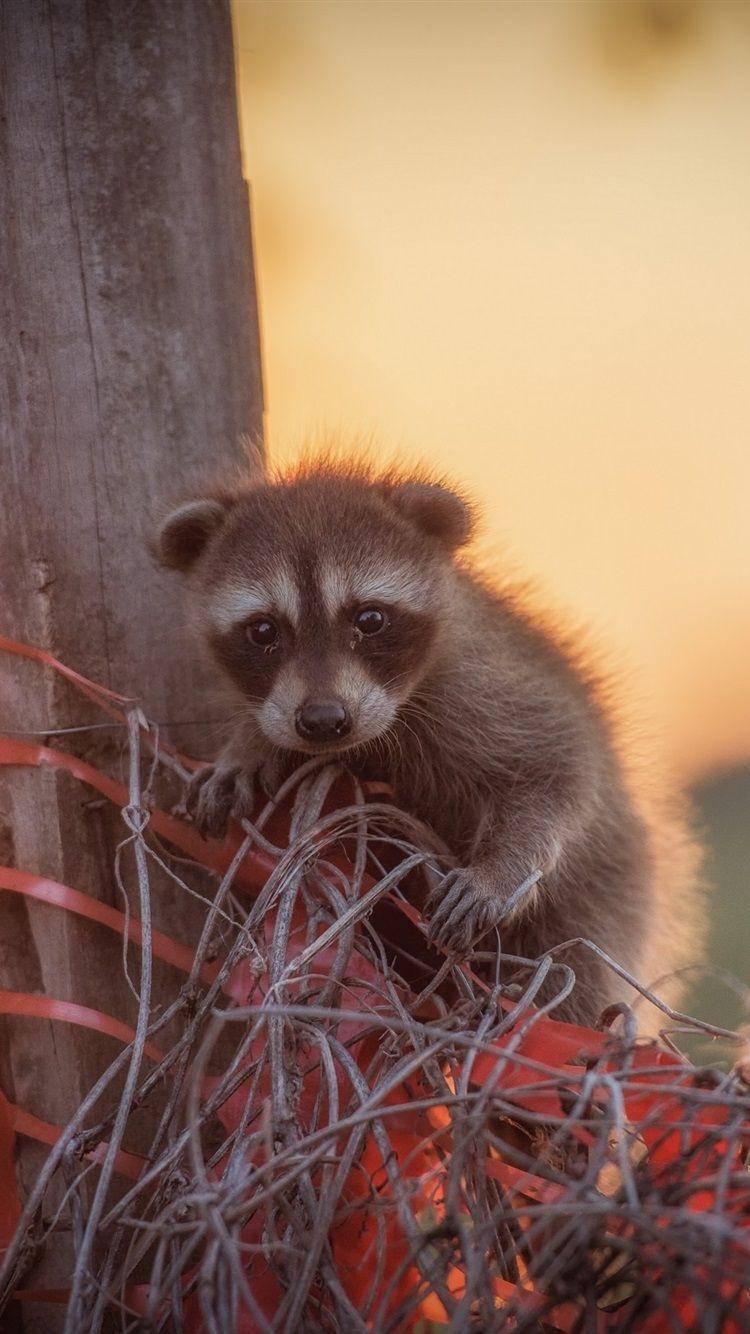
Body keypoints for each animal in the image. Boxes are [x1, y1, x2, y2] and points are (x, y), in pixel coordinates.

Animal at [155, 460, 703, 1027]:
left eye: (370, 619)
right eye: (263, 630)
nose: (324, 721)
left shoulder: (489, 685)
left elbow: (559, 769)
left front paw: (498, 870)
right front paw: (247, 747)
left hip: (608, 896)